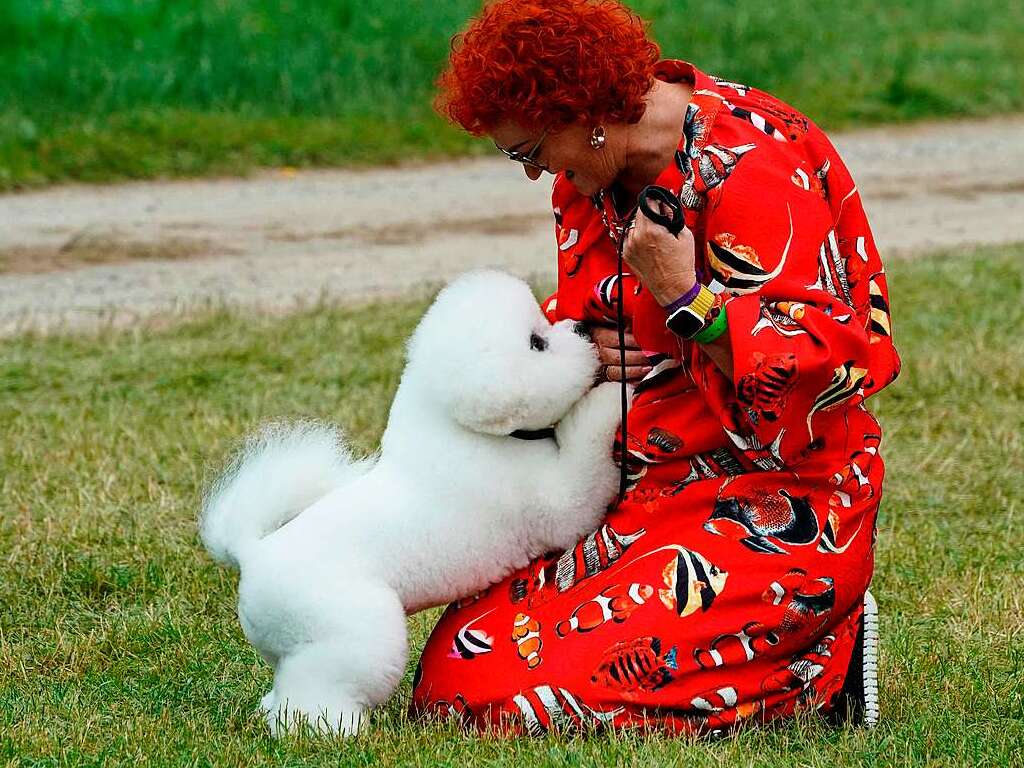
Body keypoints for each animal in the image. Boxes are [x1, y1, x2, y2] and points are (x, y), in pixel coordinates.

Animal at [201, 270, 622, 741]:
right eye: (537, 343)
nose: (582, 328)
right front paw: (615, 392)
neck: (460, 428)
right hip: (354, 630)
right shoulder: (556, 503)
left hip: (295, 648)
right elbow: (583, 459)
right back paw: (337, 733)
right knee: (312, 700)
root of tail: (251, 556)